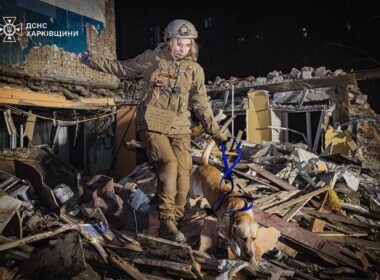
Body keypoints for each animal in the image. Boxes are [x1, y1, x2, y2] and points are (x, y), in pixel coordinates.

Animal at [191, 121, 260, 264]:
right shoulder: (222, 226)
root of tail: (205, 164)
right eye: (243, 238)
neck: (239, 209)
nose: (249, 254)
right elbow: (230, 237)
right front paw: (236, 248)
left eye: (254, 238)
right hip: (194, 192)